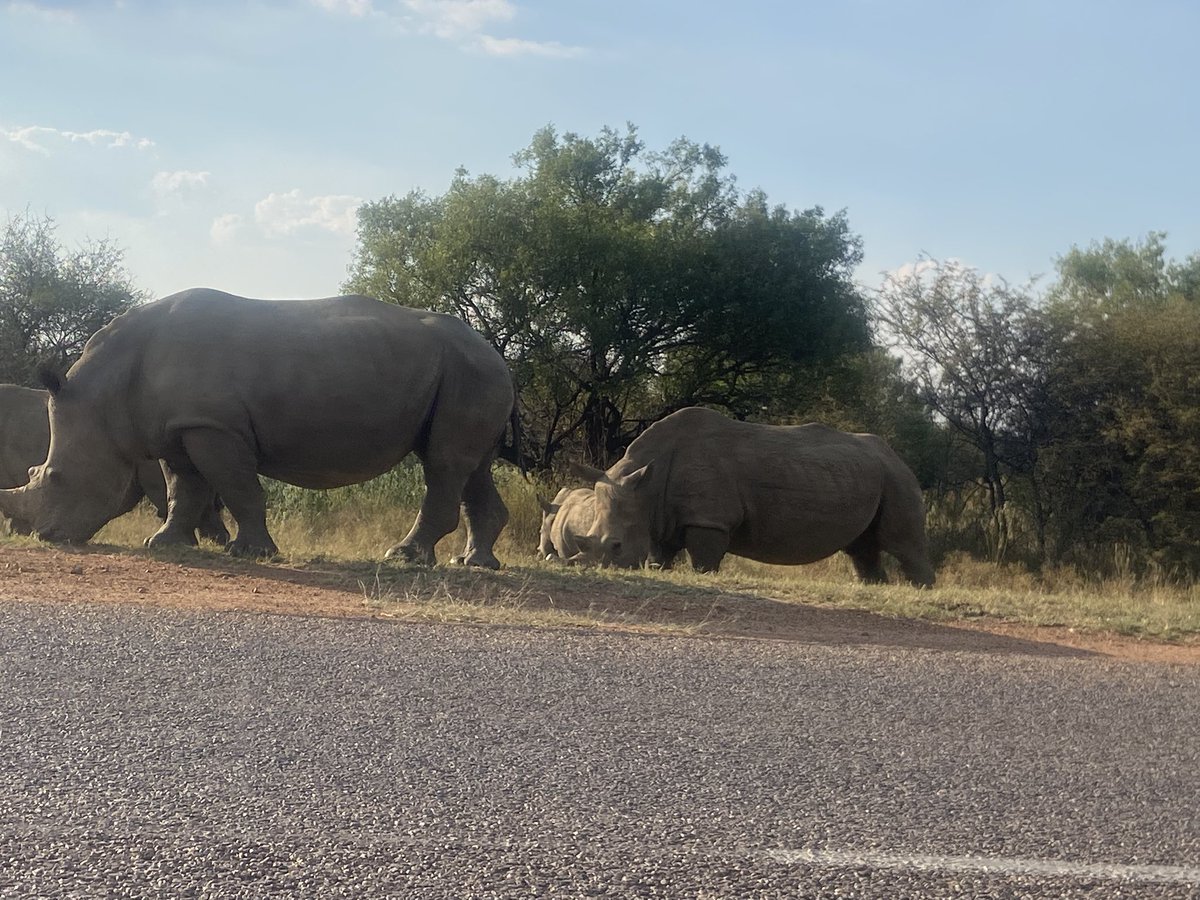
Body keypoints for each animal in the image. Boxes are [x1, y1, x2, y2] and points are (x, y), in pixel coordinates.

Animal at [571, 406, 935, 586]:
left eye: (616, 546)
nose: (596, 570)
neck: (646, 483)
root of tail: (896, 456)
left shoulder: (709, 519)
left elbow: (703, 561)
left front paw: (704, 578)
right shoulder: (661, 517)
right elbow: (659, 556)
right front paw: (656, 570)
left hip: (898, 479)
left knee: (903, 545)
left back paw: (921, 589)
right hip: (869, 475)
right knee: (862, 548)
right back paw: (874, 587)